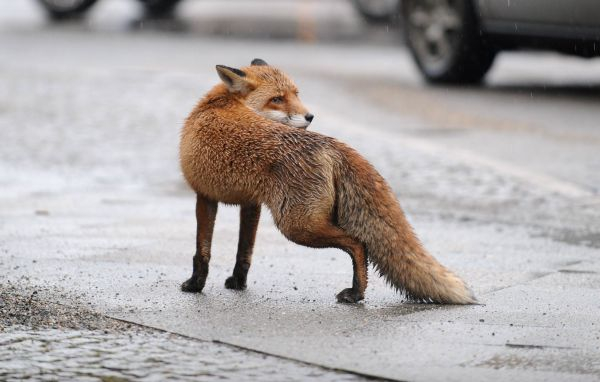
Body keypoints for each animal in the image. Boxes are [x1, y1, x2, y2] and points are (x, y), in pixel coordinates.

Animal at [178, 58, 474, 304]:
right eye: (277, 99)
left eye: (296, 94)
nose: (310, 116)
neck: (220, 102)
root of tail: (331, 144)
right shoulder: (251, 204)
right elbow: (244, 250)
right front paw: (238, 283)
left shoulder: (204, 195)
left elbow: (201, 250)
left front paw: (195, 285)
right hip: (301, 222)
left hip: (297, 226)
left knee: (358, 243)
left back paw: (355, 293)